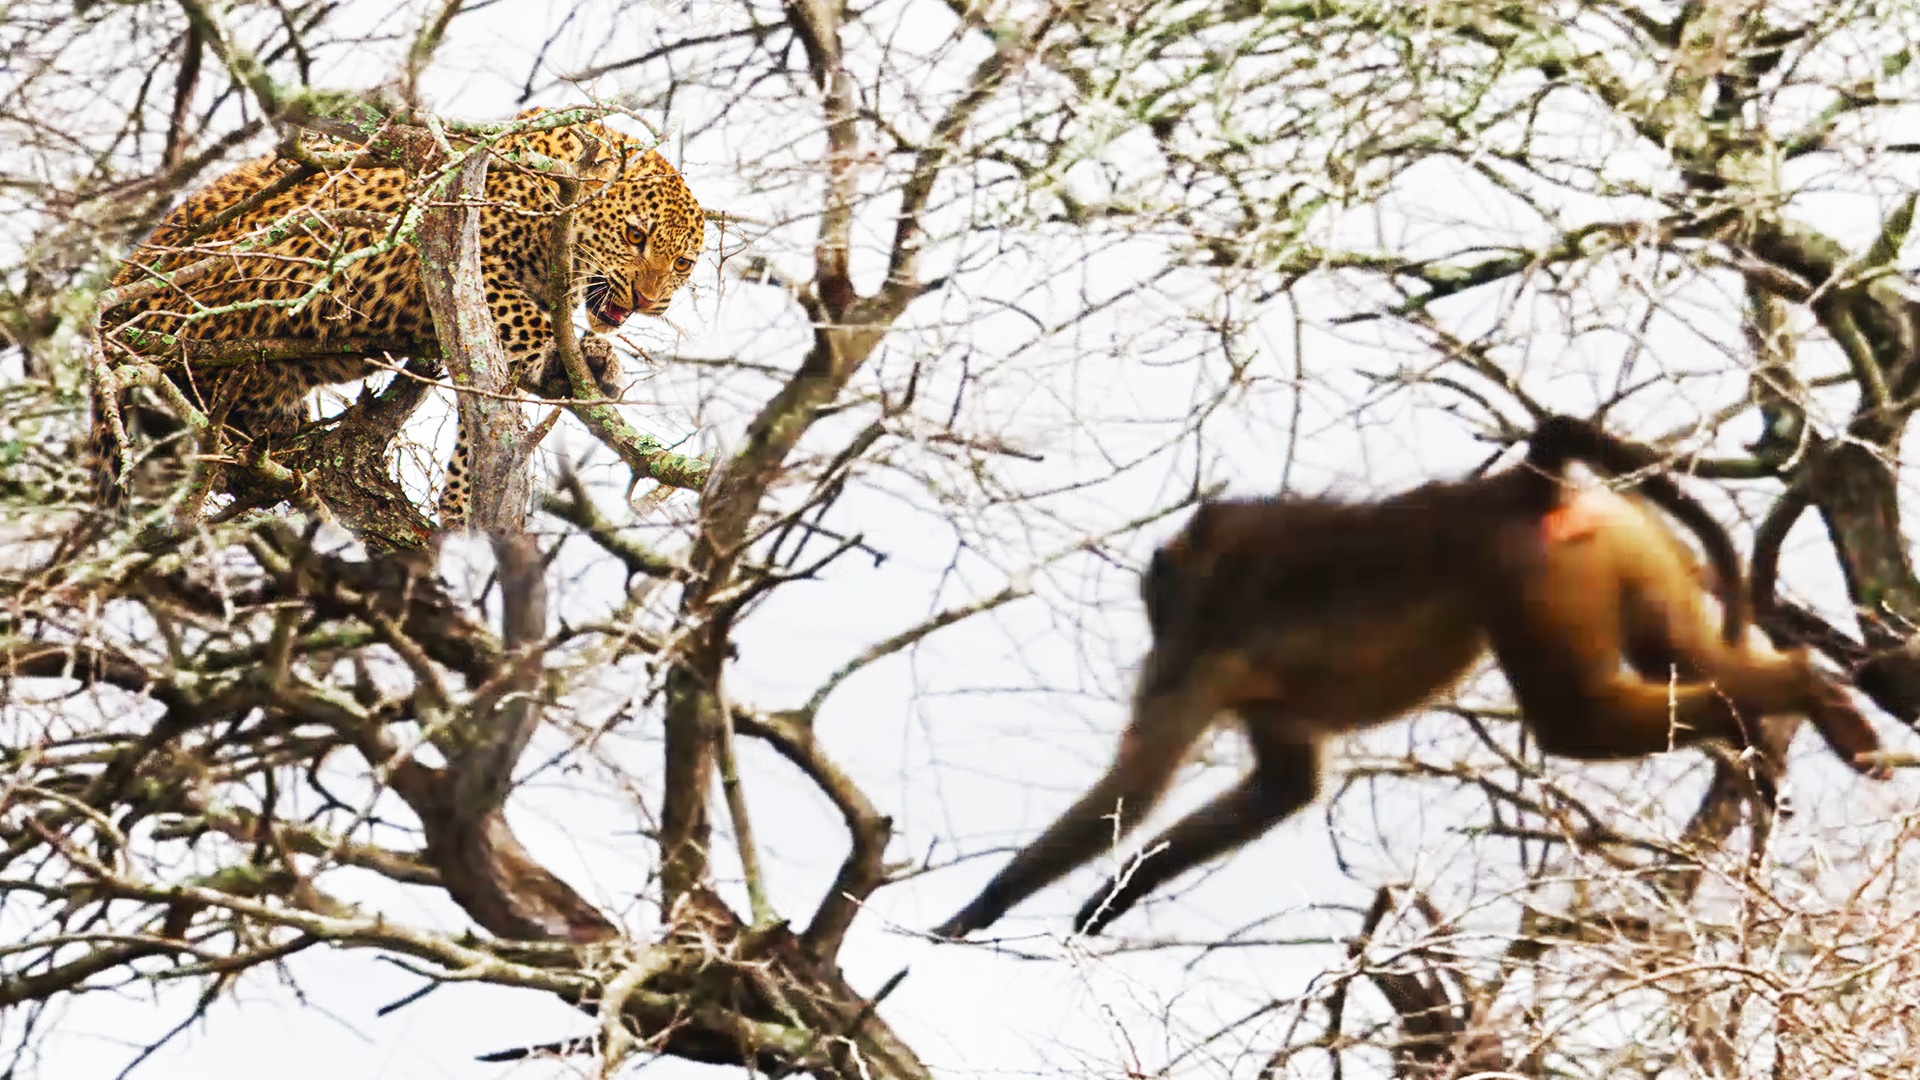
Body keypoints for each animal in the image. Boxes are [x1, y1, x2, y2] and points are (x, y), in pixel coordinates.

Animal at [92, 106, 706, 530]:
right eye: (634, 235)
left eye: (681, 263)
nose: (648, 298)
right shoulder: (452, 256)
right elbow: (519, 321)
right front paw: (570, 357)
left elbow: (486, 413)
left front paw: (463, 506)